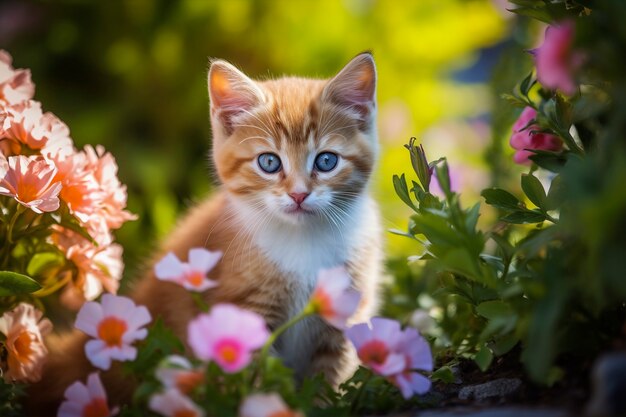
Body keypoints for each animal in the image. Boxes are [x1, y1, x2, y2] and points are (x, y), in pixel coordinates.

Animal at [28, 52, 380, 412]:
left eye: (326, 161)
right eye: (269, 162)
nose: (298, 195)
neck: (303, 239)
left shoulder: (343, 316)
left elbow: (325, 385)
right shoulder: (243, 315)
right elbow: (253, 382)